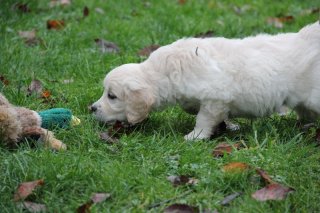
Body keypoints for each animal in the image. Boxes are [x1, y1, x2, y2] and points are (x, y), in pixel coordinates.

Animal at [90, 22, 320, 140]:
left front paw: (195, 136)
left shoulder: (215, 98)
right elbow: (194, 109)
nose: (91, 108)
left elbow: (204, 119)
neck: (166, 70)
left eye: (112, 96)